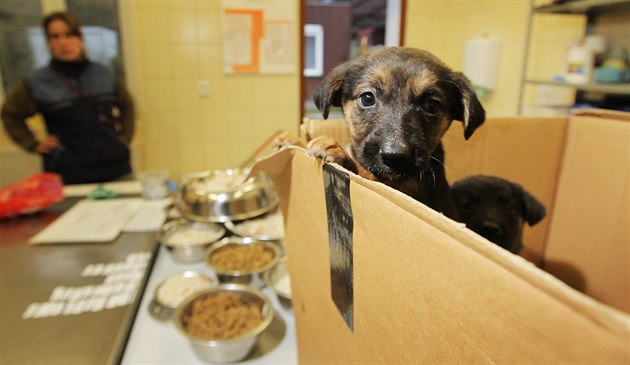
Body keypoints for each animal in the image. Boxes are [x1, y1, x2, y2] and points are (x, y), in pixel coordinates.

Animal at [284, 47, 486, 219]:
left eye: (432, 106)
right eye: (367, 98)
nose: (395, 157)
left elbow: (363, 172)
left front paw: (336, 151)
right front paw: (291, 140)